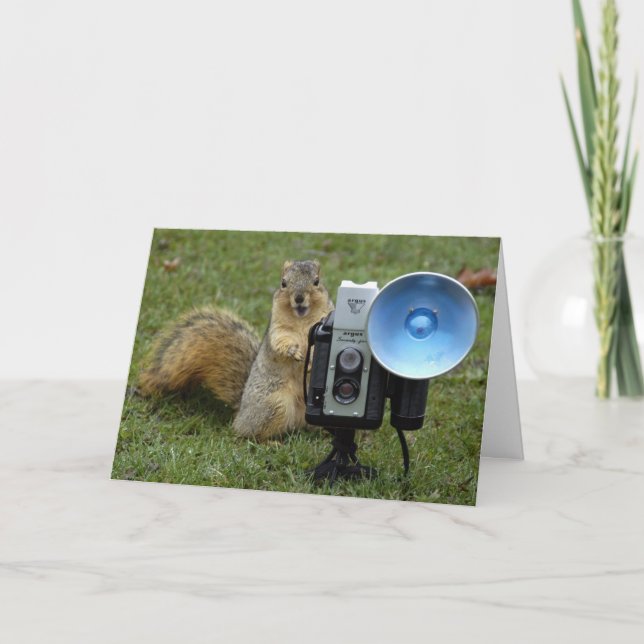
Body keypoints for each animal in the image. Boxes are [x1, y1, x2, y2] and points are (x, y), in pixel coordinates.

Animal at [138, 260, 334, 441]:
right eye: (283, 283)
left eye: (316, 281)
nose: (299, 298)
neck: (302, 319)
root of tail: (241, 412)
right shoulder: (278, 330)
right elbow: (281, 343)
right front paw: (294, 352)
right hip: (275, 405)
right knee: (249, 434)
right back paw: (271, 442)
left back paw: (324, 433)